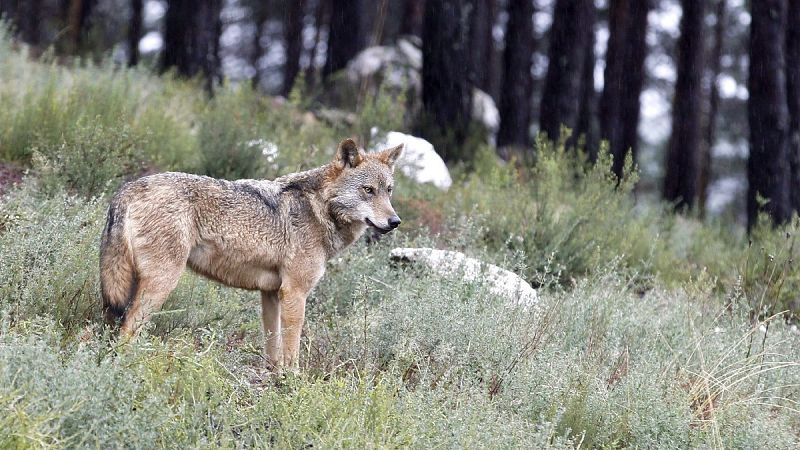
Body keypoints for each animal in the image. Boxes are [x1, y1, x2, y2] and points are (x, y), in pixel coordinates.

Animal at [100, 139, 403, 370]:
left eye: (388, 191)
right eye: (368, 190)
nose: (395, 221)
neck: (319, 209)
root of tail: (127, 189)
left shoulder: (271, 294)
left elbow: (273, 346)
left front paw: (275, 378)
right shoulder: (295, 293)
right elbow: (291, 350)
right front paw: (294, 382)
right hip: (161, 284)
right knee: (127, 330)